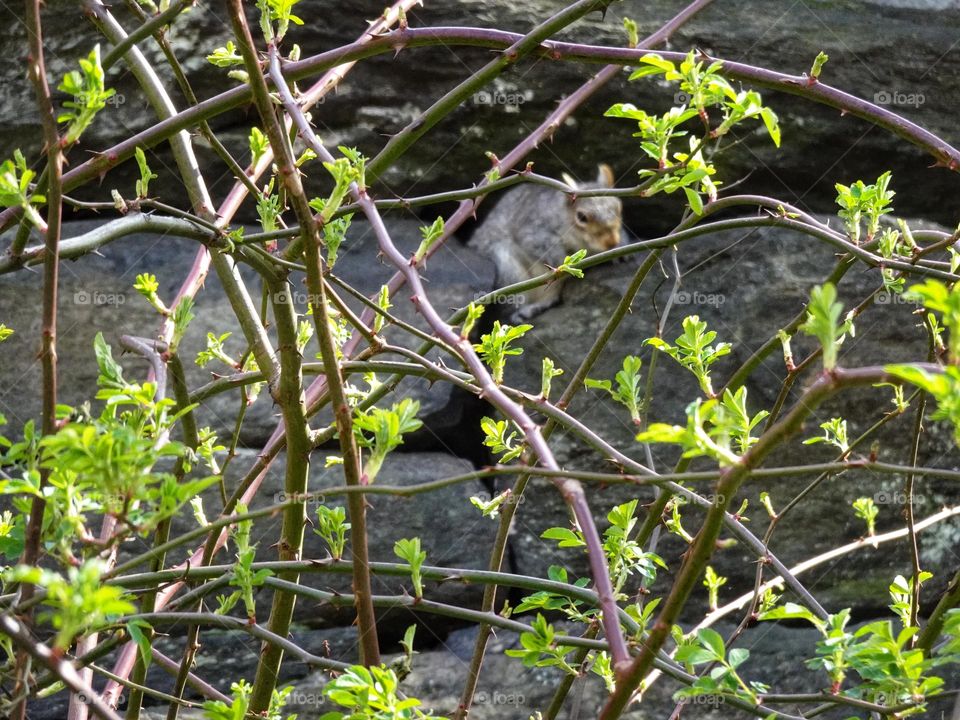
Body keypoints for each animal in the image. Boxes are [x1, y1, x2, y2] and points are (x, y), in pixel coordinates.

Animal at [469, 164, 622, 320]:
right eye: (581, 217)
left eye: (618, 207)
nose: (611, 242)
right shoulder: (533, 230)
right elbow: (541, 246)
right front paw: (562, 263)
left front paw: (621, 249)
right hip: (510, 272)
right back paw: (525, 311)